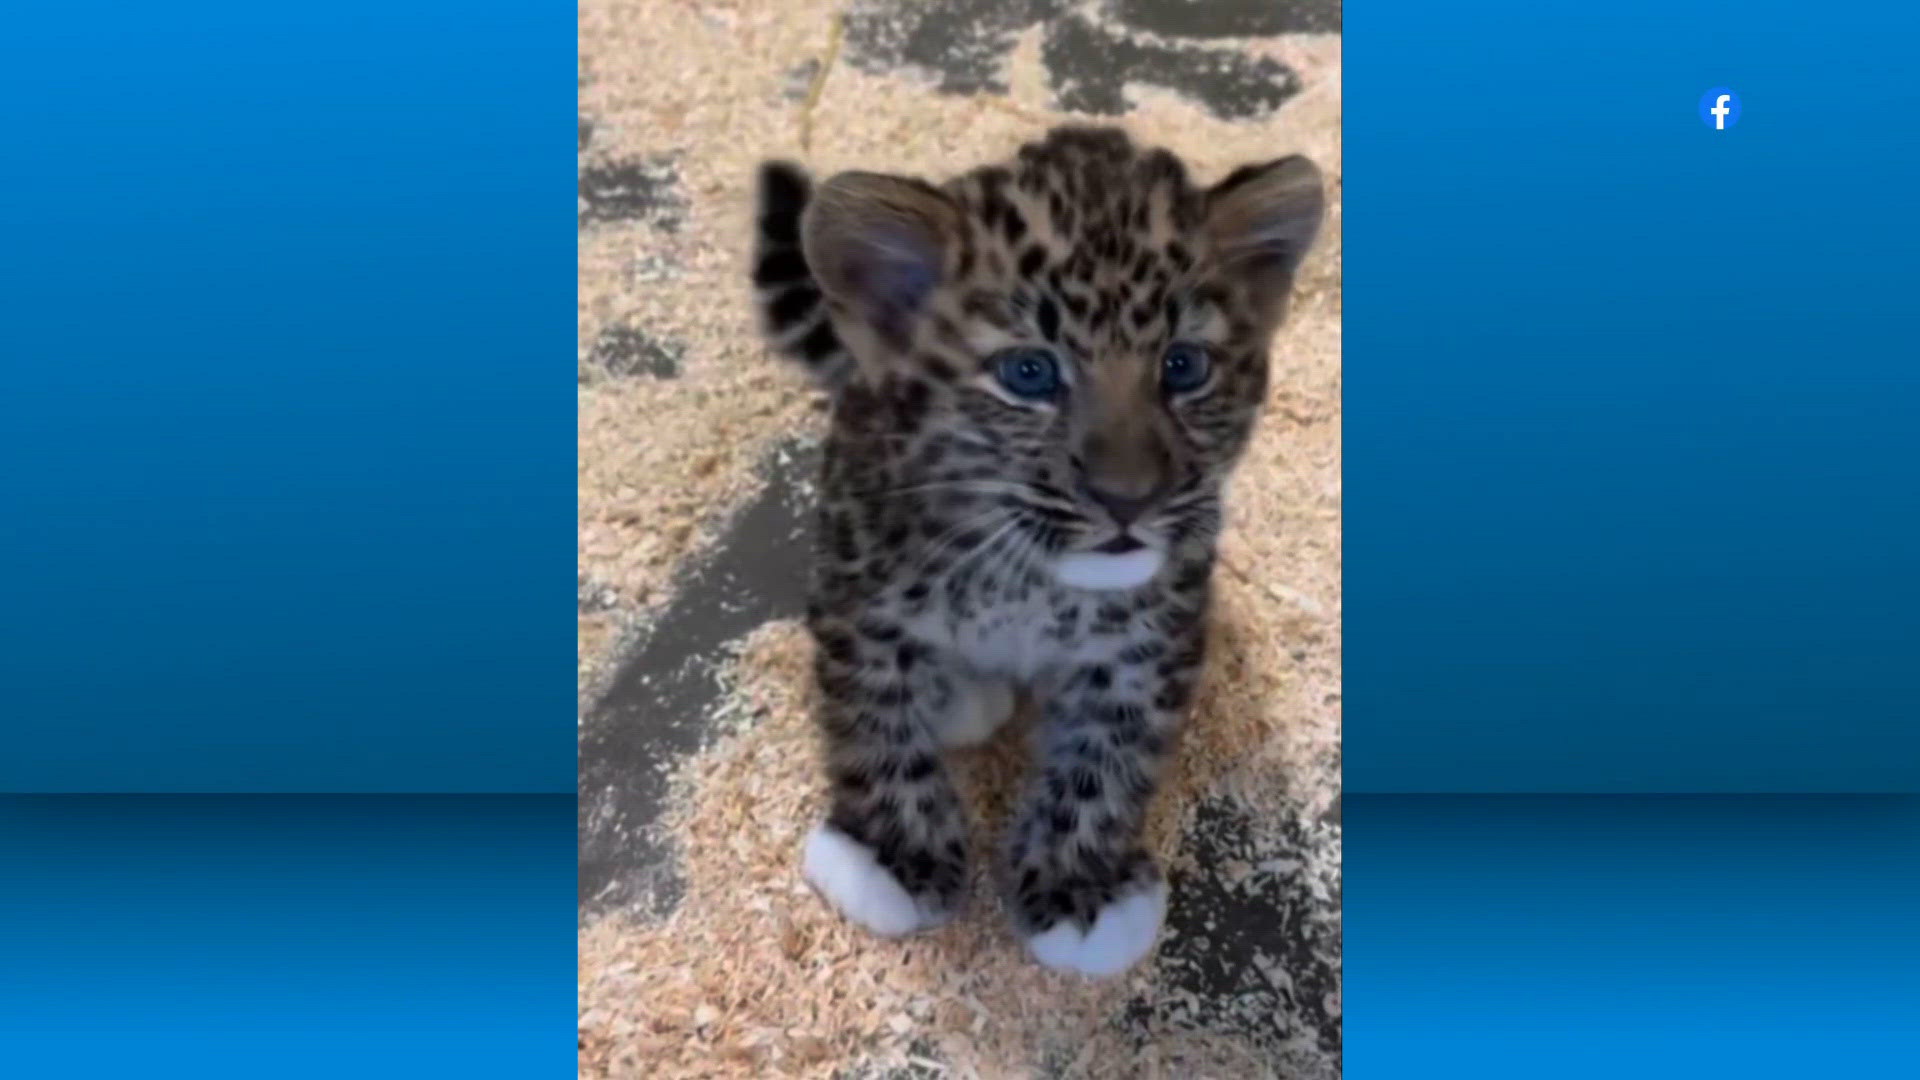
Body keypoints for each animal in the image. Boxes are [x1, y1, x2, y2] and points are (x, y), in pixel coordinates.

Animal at [749, 126, 1323, 977]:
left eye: (1183, 366)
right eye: (1029, 374)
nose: (1128, 500)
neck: (1028, 580)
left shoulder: (1148, 643)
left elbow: (1109, 758)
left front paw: (1081, 889)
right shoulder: (857, 598)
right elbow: (875, 722)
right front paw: (891, 859)